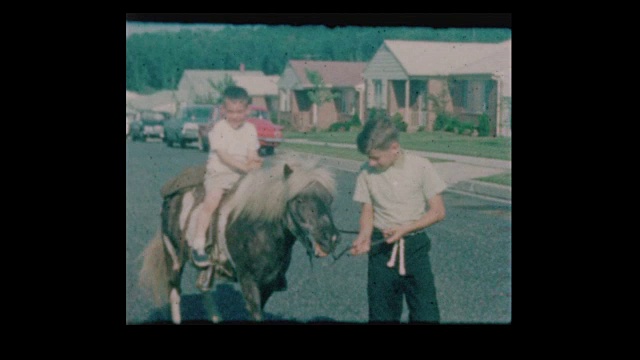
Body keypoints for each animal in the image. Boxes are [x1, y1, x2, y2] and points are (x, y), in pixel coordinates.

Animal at [138, 158, 342, 324]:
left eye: (330, 199)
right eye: (299, 200)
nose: (331, 238)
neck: (259, 231)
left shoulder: (267, 285)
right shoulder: (248, 281)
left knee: (203, 287)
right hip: (173, 256)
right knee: (174, 292)